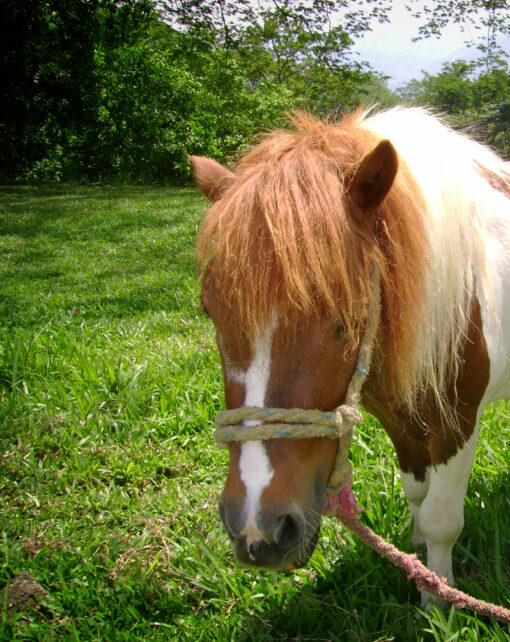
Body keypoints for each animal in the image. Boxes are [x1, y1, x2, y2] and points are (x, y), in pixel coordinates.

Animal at [189, 107, 510, 604]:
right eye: (210, 310)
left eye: (348, 315)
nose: (257, 529)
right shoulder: (400, 420)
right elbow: (416, 494)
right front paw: (415, 558)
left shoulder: (456, 424)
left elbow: (441, 519)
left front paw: (438, 601)